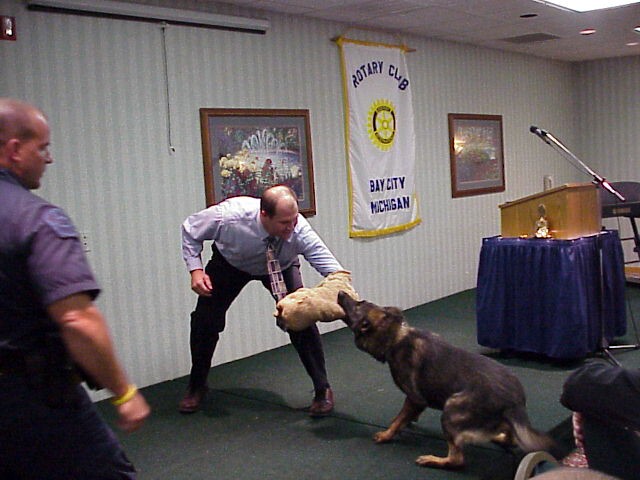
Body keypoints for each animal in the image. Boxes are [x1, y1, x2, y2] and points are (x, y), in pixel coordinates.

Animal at [338, 292, 556, 468]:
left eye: (359, 304)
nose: (340, 292)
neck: (396, 338)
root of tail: (514, 404)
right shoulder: (416, 402)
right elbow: (405, 416)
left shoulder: (415, 398)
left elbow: (398, 419)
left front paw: (387, 435)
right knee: (510, 436)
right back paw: (499, 436)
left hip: (450, 410)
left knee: (457, 459)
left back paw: (433, 460)